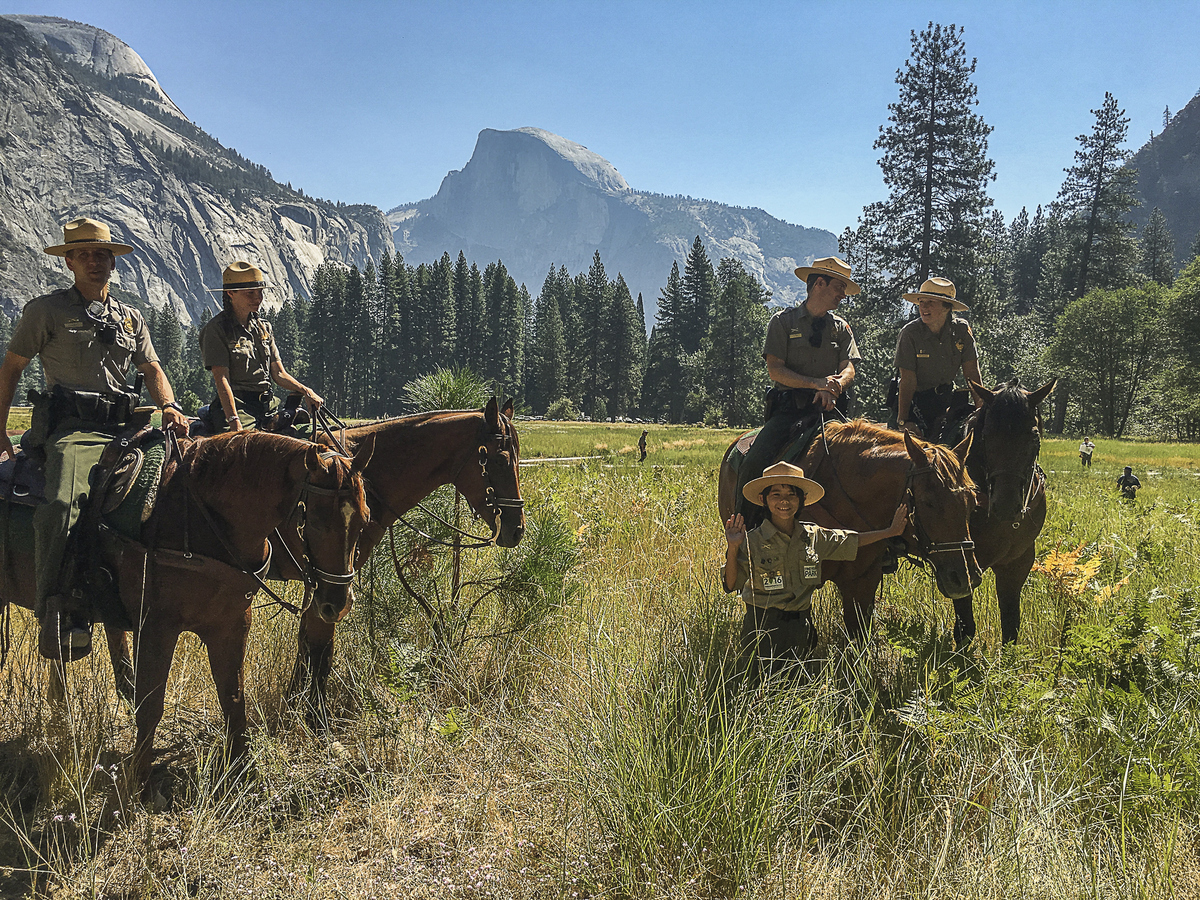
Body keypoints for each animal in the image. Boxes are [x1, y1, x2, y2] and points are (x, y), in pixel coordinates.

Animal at [950, 381, 1056, 648]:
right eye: (986, 435)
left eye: (1034, 435)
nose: (1006, 505)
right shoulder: (958, 560)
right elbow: (965, 626)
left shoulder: (1017, 563)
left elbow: (1011, 626)